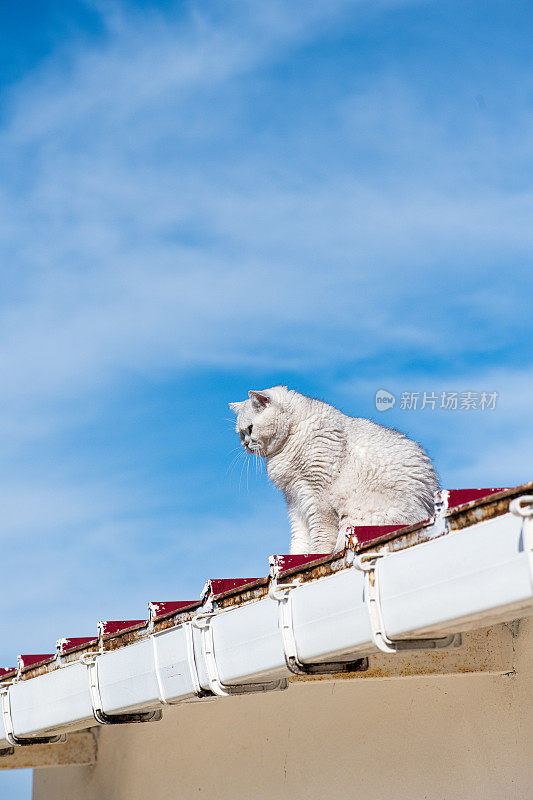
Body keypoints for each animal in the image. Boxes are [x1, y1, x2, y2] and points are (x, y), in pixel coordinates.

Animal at [228, 386, 436, 552]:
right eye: (241, 434)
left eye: (250, 429)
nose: (245, 444)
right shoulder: (295, 500)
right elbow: (299, 540)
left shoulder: (317, 497)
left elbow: (320, 537)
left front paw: (316, 555)